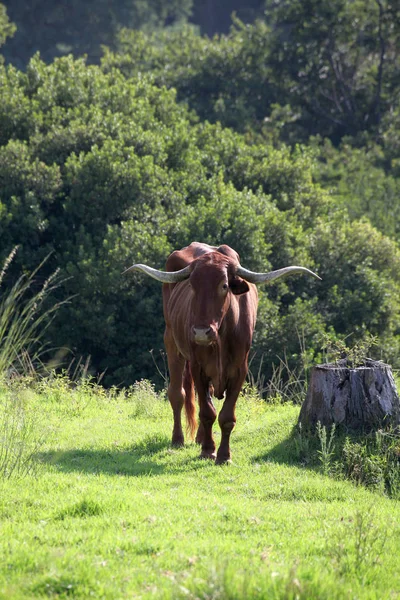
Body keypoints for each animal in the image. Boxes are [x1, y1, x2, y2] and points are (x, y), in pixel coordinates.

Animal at [125, 244, 318, 464]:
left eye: (224, 286)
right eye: (192, 285)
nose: (201, 332)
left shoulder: (240, 371)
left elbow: (226, 416)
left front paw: (224, 455)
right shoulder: (198, 367)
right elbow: (207, 412)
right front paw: (208, 451)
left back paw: (200, 437)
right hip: (171, 342)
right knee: (177, 394)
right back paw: (178, 439)